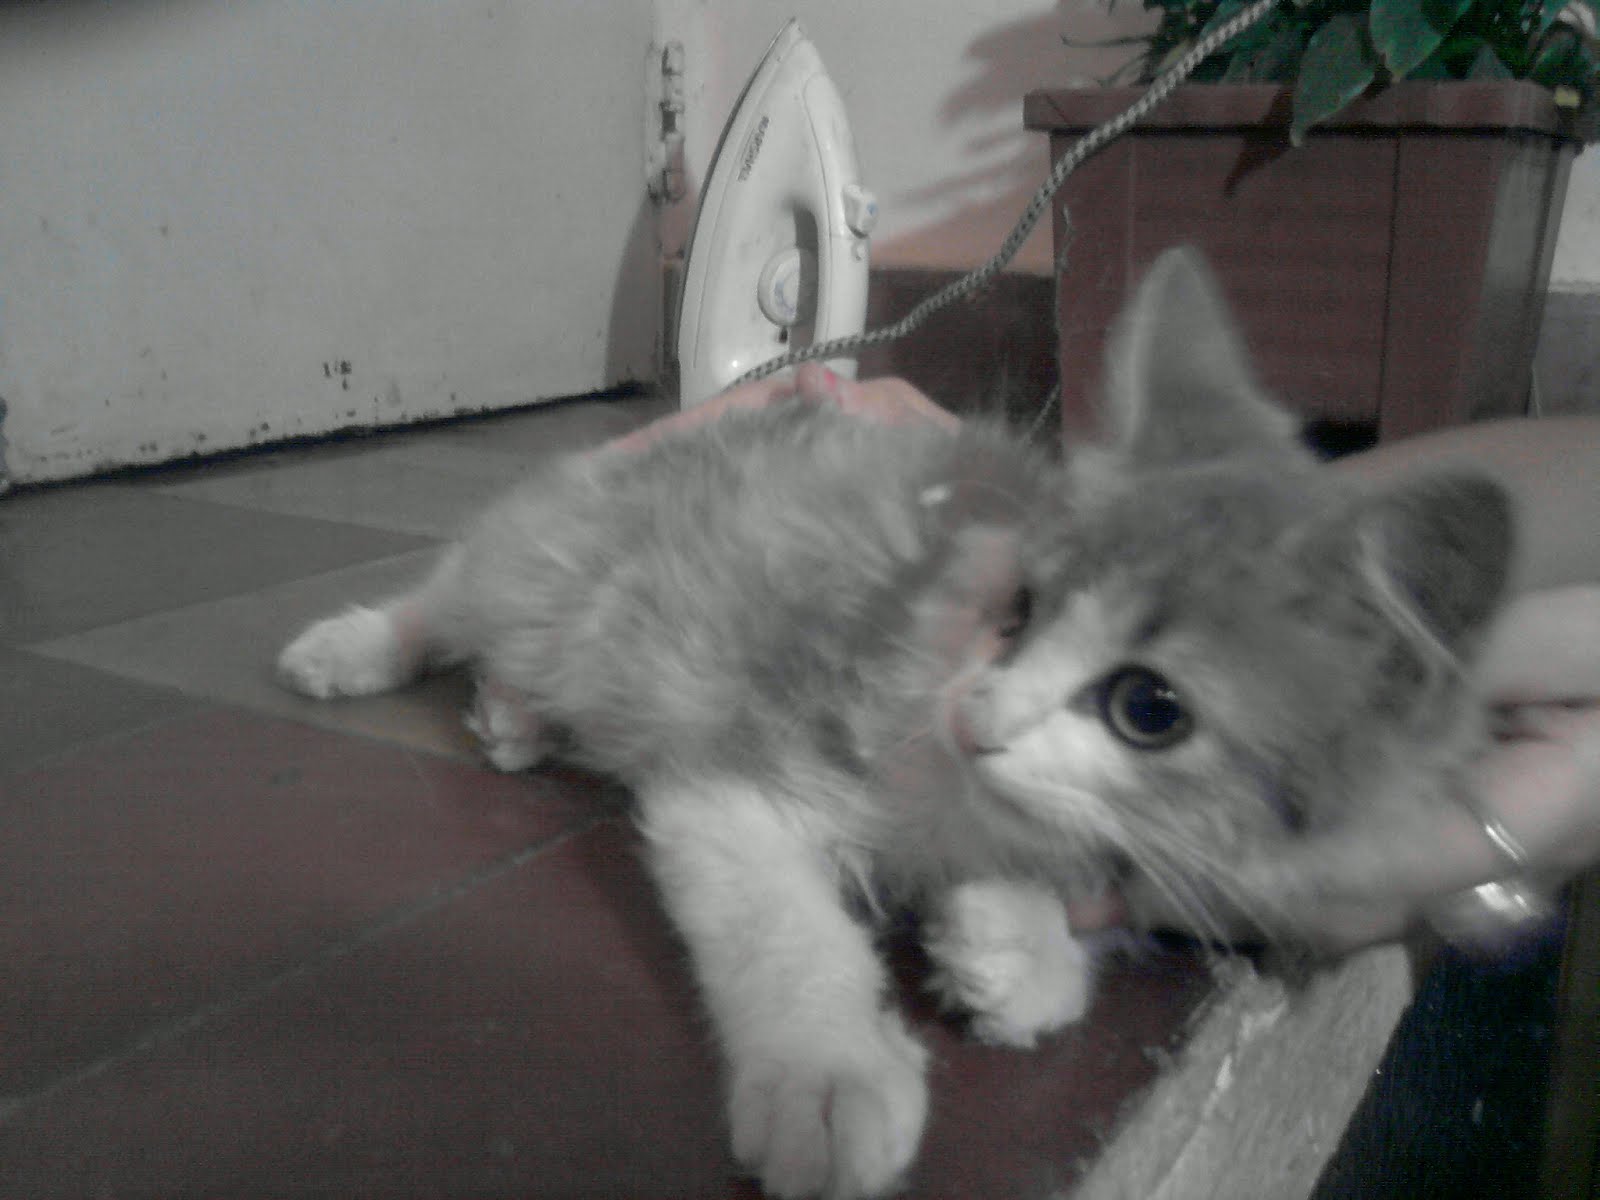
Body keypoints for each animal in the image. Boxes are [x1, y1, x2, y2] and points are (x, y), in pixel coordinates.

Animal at [277, 248, 1512, 1200]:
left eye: (1149, 709)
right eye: (1023, 606)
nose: (983, 715)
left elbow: (1066, 916)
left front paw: (1010, 943)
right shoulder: (736, 784)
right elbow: (790, 938)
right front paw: (828, 1080)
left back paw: (517, 711)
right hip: (543, 555)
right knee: (446, 592)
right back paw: (360, 650)